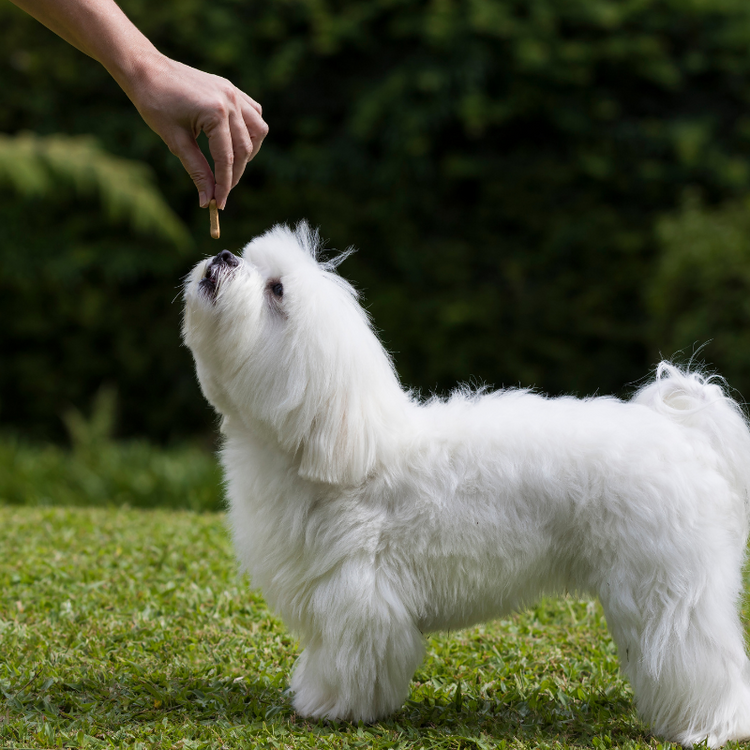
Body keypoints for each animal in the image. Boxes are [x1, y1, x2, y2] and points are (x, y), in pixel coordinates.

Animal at [182, 222, 750, 748]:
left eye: (276, 289)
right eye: (250, 259)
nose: (225, 255)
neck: (342, 446)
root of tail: (683, 434)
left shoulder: (359, 596)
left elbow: (351, 659)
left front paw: (334, 707)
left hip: (667, 591)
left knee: (702, 660)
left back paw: (711, 726)